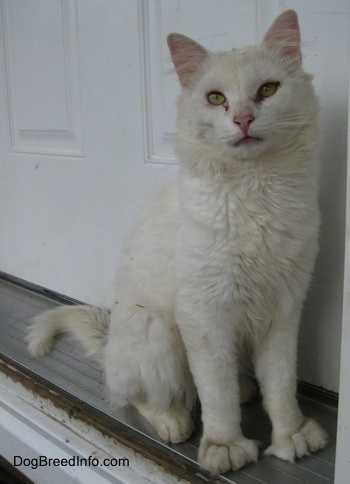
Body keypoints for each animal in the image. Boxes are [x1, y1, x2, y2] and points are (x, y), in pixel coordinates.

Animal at [28, 9, 328, 474]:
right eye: (217, 99)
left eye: (267, 90)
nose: (243, 119)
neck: (257, 191)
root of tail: (111, 345)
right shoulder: (203, 317)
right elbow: (216, 395)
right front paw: (225, 448)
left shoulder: (283, 309)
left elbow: (281, 385)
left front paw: (292, 437)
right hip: (157, 331)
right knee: (138, 399)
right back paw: (174, 422)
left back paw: (245, 389)